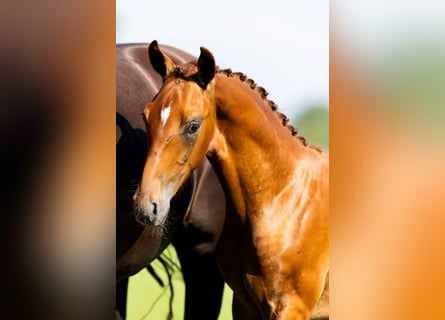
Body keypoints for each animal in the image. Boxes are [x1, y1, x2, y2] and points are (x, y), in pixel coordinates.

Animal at [134, 41, 328, 318]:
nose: (146, 207)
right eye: (145, 116)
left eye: (193, 125)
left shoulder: (292, 307)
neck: (283, 197)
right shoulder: (243, 305)